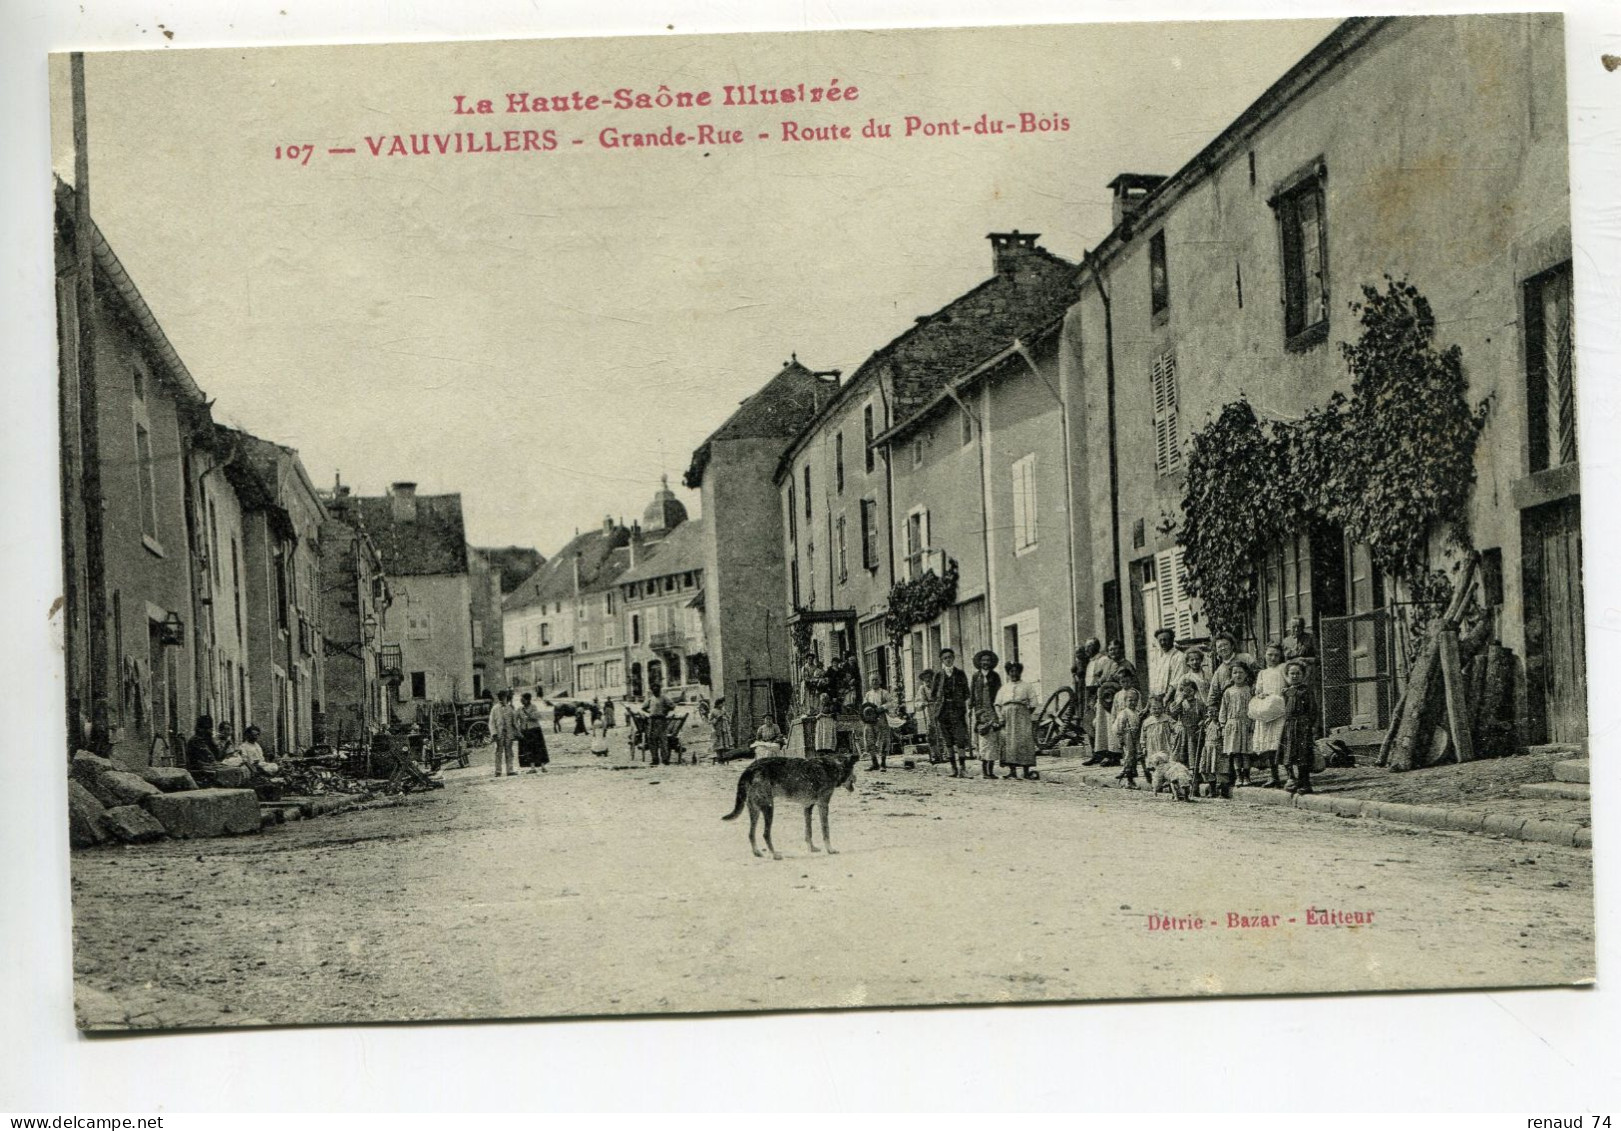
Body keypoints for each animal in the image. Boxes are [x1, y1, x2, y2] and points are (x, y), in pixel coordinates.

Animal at [722, 751, 862, 862]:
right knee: (765, 834)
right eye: (853, 770)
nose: (856, 778)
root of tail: (750, 768)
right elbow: (825, 831)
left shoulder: (808, 807)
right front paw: (830, 850)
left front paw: (812, 848)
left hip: (755, 810)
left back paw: (757, 853)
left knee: (751, 834)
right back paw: (775, 854)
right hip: (768, 808)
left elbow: (808, 832)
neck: (832, 766)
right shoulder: (823, 805)